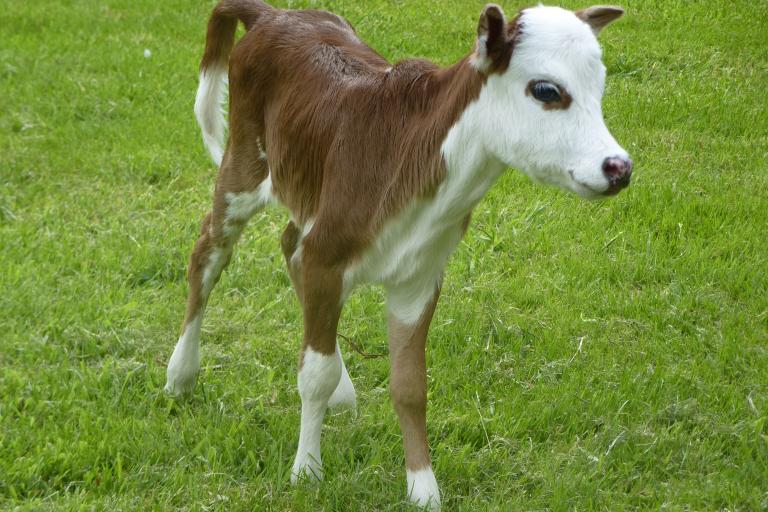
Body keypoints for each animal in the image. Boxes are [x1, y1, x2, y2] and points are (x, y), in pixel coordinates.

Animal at [164, 2, 632, 508]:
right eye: (546, 90)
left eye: (599, 86)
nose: (619, 167)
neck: (411, 159)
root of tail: (274, 14)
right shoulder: (328, 254)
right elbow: (314, 373)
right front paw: (306, 471)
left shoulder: (419, 274)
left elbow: (410, 385)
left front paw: (423, 486)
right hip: (244, 163)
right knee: (208, 252)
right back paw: (181, 375)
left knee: (290, 244)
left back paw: (343, 393)